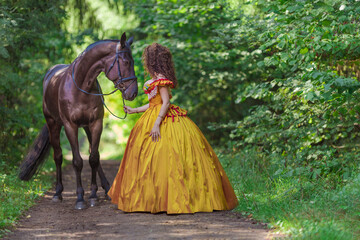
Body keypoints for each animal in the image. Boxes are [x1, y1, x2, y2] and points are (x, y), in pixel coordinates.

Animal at [19, 32, 138, 210]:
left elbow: (94, 158)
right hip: (53, 124)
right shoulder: (70, 126)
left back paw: (106, 188)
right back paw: (58, 193)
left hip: (87, 128)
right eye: (126, 62)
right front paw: (80, 198)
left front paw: (94, 196)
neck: (82, 87)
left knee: (94, 155)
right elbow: (77, 162)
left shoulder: (96, 124)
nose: (133, 92)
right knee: (58, 156)